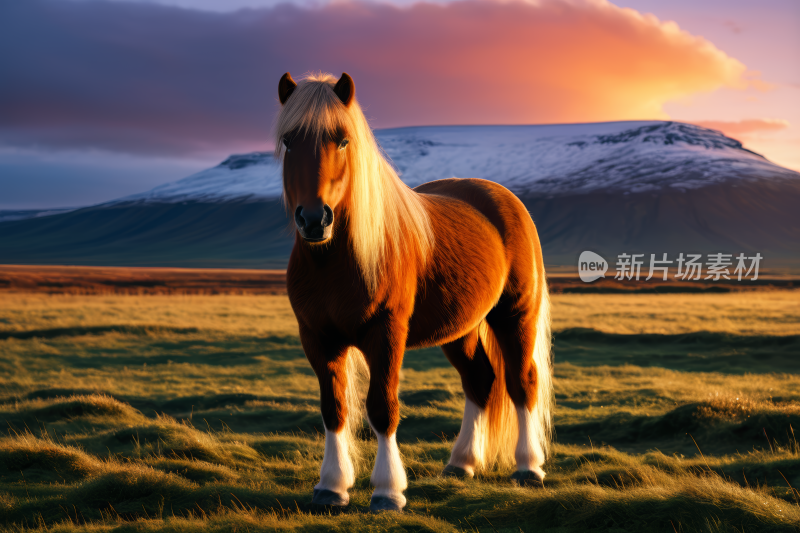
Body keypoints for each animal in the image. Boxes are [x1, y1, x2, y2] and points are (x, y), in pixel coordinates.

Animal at [276, 71, 552, 512]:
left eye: (342, 140)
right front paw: (331, 487)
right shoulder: (317, 337)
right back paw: (461, 463)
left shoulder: (386, 332)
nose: (315, 219)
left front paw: (388, 491)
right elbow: (333, 408)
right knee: (480, 380)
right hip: (461, 329)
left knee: (521, 382)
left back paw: (528, 468)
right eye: (288, 141)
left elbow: (382, 407)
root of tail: (504, 198)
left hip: (515, 315)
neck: (335, 261)